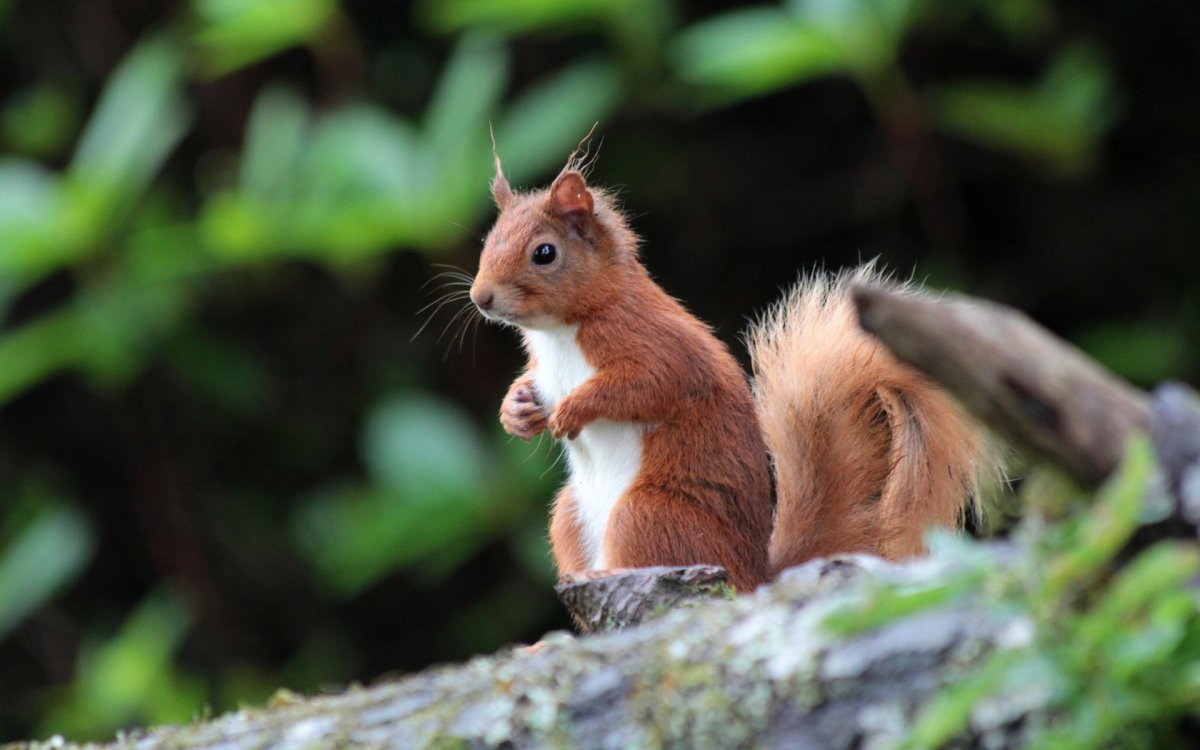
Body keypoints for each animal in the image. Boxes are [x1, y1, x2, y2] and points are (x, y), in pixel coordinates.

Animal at [468, 150, 991, 591]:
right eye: (488, 241)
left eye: (544, 253)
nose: (480, 297)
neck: (560, 332)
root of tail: (755, 575)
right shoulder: (544, 368)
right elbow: (531, 387)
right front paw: (516, 412)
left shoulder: (657, 346)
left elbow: (646, 384)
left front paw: (572, 410)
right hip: (569, 515)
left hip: (647, 513)